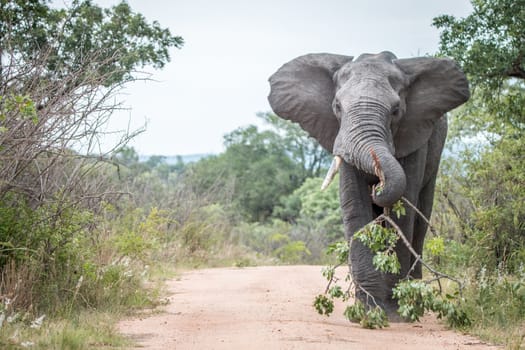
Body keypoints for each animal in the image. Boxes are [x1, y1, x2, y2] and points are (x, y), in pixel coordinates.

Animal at [268, 50, 468, 316]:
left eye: (396, 110)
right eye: (337, 106)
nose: (377, 186)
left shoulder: (416, 136)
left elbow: (403, 210)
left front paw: (394, 313)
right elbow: (355, 205)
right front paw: (368, 312)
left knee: (422, 214)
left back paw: (416, 302)